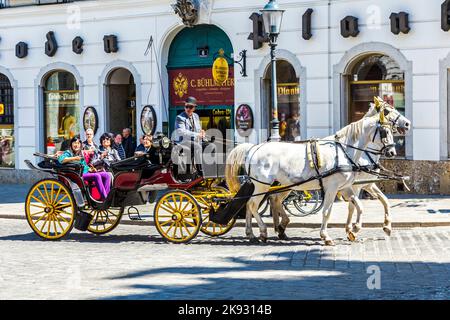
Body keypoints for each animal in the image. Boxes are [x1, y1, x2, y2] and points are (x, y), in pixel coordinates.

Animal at [227, 110, 396, 245]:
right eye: (385, 132)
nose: (392, 152)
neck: (344, 151)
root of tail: (254, 148)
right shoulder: (333, 188)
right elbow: (327, 212)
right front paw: (326, 236)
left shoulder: (346, 187)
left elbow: (359, 206)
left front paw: (354, 229)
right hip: (262, 184)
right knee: (253, 205)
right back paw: (262, 231)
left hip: (274, 185)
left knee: (256, 203)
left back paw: (254, 233)